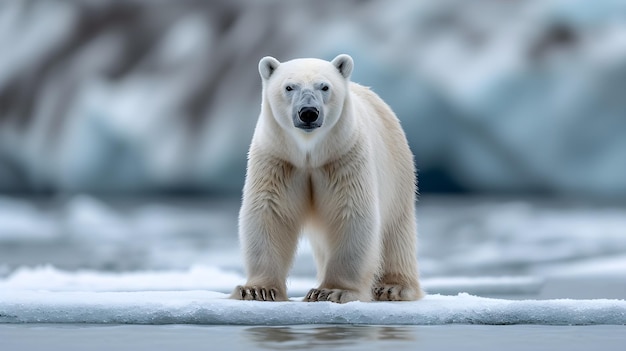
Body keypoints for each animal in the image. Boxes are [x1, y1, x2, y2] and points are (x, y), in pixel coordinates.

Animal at [230, 53, 424, 304]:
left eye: (324, 86)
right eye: (289, 87)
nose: (308, 112)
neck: (310, 153)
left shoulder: (344, 157)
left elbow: (351, 212)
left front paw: (331, 291)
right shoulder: (278, 160)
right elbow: (269, 212)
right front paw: (256, 290)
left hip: (398, 171)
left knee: (396, 230)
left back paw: (393, 288)